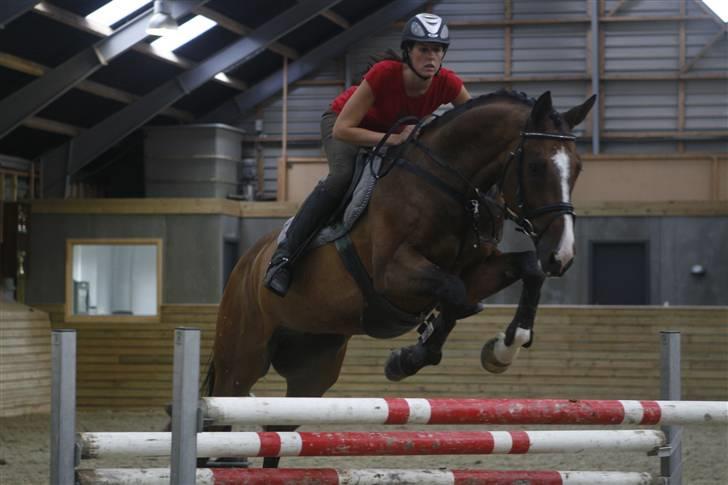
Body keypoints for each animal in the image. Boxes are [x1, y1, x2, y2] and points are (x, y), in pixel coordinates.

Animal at [208, 90, 596, 466]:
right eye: (536, 166)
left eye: (578, 168)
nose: (561, 255)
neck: (449, 187)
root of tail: (244, 265)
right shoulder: (392, 276)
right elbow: (454, 293)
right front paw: (408, 358)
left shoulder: (478, 271)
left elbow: (523, 271)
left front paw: (503, 349)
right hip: (242, 356)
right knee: (225, 411)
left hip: (314, 366)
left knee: (279, 431)